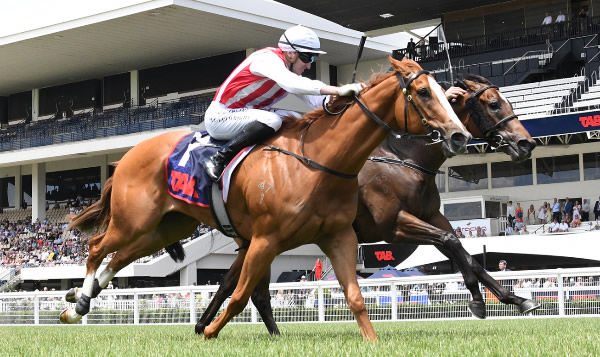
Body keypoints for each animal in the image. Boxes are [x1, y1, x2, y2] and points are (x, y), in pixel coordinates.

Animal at [58, 56, 472, 340]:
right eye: (423, 92)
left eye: (446, 95)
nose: (459, 135)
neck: (320, 161)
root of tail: (123, 159)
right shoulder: (264, 239)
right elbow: (241, 295)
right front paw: (210, 332)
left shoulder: (339, 236)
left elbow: (354, 295)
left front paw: (371, 341)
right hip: (134, 220)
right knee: (97, 247)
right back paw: (79, 302)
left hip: (166, 227)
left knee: (120, 257)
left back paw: (79, 301)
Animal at [191, 72, 540, 334]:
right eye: (493, 104)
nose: (527, 143)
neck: (404, 160)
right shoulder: (393, 225)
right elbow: (452, 243)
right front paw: (480, 301)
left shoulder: (430, 215)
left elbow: (464, 252)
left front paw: (515, 298)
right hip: (264, 238)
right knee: (244, 287)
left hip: (254, 240)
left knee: (234, 284)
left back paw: (207, 326)